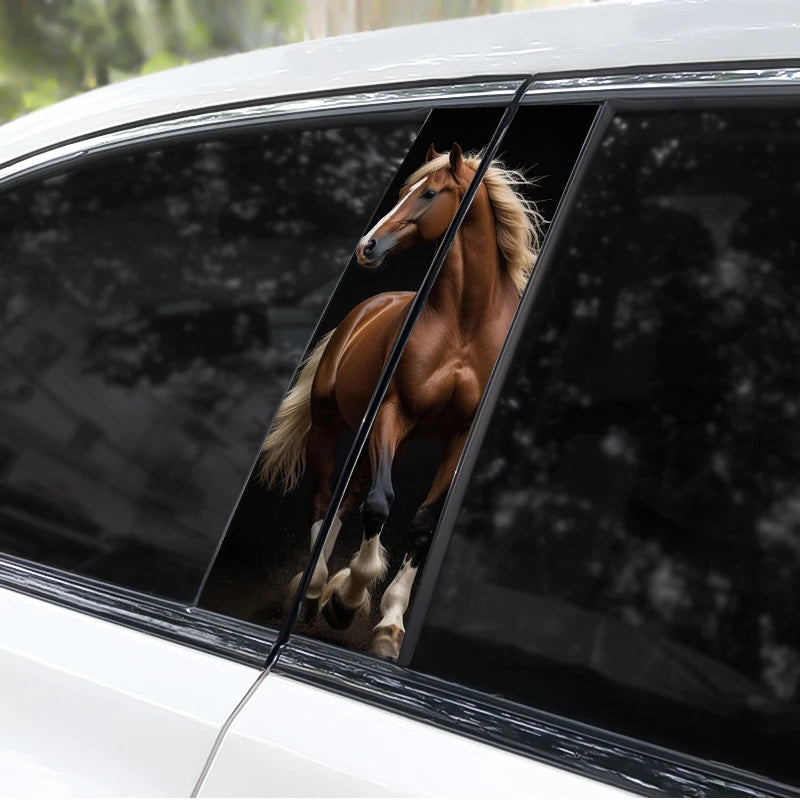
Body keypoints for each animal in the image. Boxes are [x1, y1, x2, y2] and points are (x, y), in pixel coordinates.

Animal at [259, 142, 541, 659]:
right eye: (403, 191)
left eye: (429, 193)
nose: (366, 246)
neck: (463, 323)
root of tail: (366, 308)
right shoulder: (392, 413)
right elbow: (380, 505)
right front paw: (348, 598)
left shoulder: (458, 435)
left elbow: (421, 524)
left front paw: (389, 625)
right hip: (333, 426)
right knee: (326, 499)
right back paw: (313, 591)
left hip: (389, 442)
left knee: (345, 501)